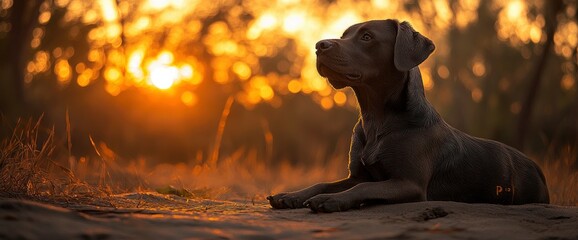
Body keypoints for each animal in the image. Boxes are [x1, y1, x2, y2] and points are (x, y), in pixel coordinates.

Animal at [266, 19, 548, 213]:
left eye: (367, 37)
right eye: (344, 35)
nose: (319, 45)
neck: (376, 119)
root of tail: (537, 166)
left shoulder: (408, 183)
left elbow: (363, 188)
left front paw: (330, 200)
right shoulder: (357, 174)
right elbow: (325, 182)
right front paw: (292, 195)